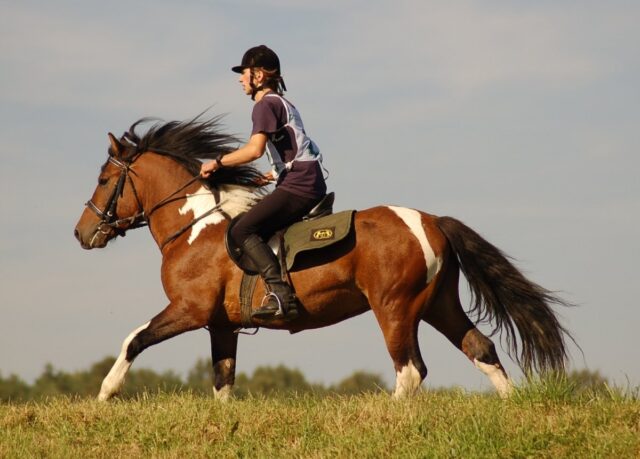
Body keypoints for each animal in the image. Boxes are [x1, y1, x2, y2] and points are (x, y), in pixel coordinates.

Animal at [72, 116, 572, 402]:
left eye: (103, 179)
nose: (80, 233)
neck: (195, 226)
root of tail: (430, 221)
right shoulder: (221, 325)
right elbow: (222, 383)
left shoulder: (189, 311)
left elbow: (134, 339)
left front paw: (104, 394)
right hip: (438, 304)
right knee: (481, 349)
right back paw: (511, 410)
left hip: (395, 308)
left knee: (410, 371)